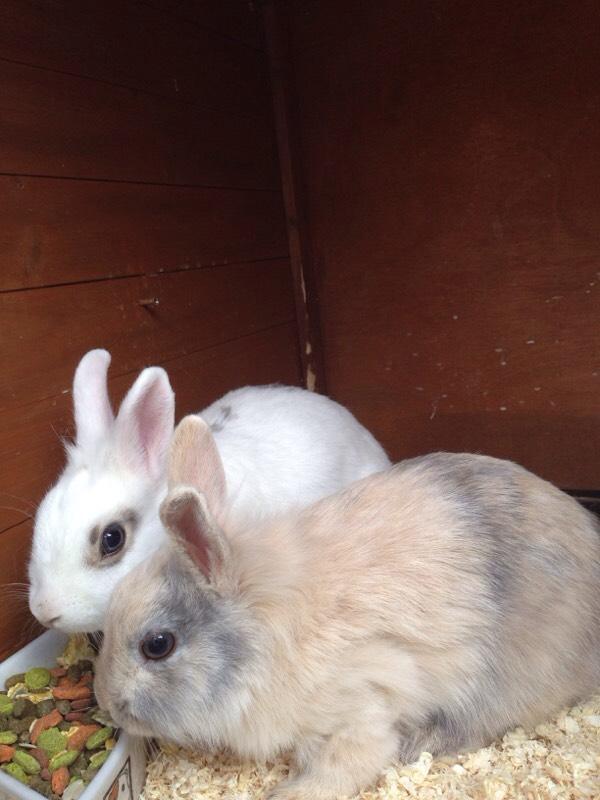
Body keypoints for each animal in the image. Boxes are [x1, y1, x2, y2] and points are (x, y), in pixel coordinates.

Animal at [94, 415, 600, 800]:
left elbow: (348, 762)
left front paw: (288, 794)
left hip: (501, 683)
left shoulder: (363, 705)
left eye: (158, 644)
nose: (107, 703)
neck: (266, 635)